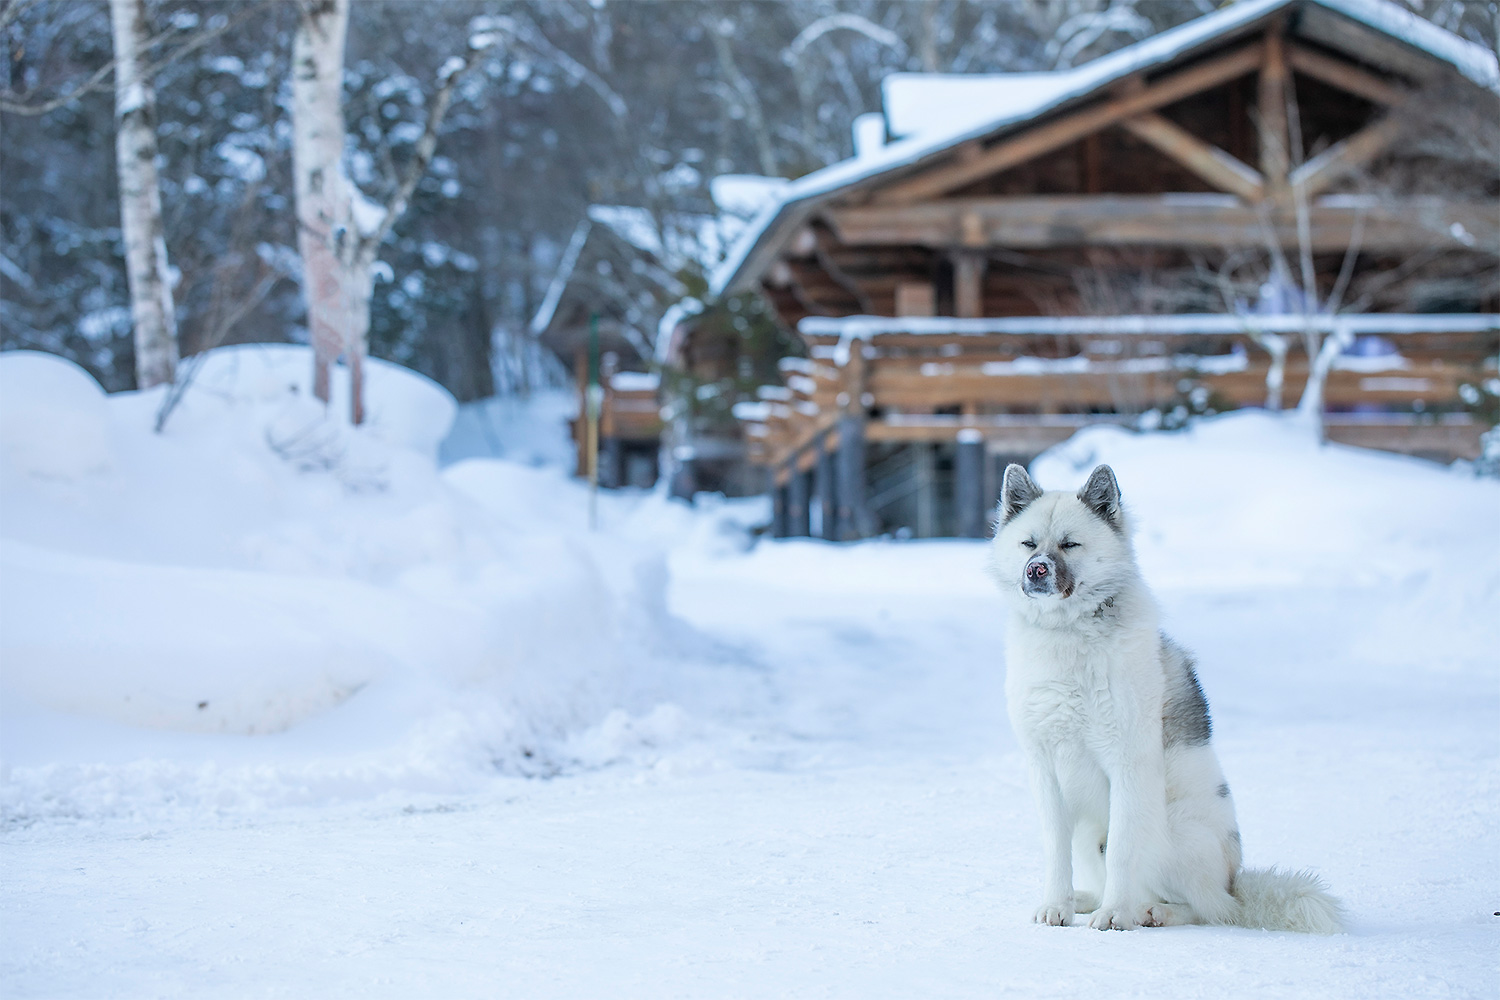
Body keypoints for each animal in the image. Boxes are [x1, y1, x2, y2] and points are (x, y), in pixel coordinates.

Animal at [990, 464, 1344, 935]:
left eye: (1069, 544)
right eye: (1028, 544)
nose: (1036, 570)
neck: (1069, 635)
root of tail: (1234, 881)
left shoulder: (1127, 764)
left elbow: (1123, 851)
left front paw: (1115, 915)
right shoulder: (1044, 771)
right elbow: (1054, 851)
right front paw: (1057, 905)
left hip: (1172, 830)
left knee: (1210, 909)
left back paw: (1150, 912)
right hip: (1090, 835)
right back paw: (1088, 899)